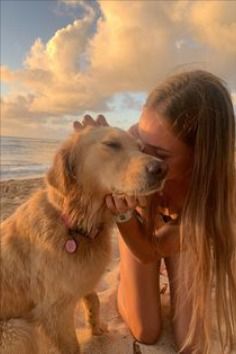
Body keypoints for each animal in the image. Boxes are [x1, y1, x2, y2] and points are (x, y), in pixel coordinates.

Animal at [0, 123, 167, 352]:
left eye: (141, 148)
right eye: (111, 144)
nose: (162, 169)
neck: (74, 225)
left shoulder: (80, 280)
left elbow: (94, 298)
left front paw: (96, 327)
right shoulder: (55, 312)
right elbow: (71, 346)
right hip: (17, 330)